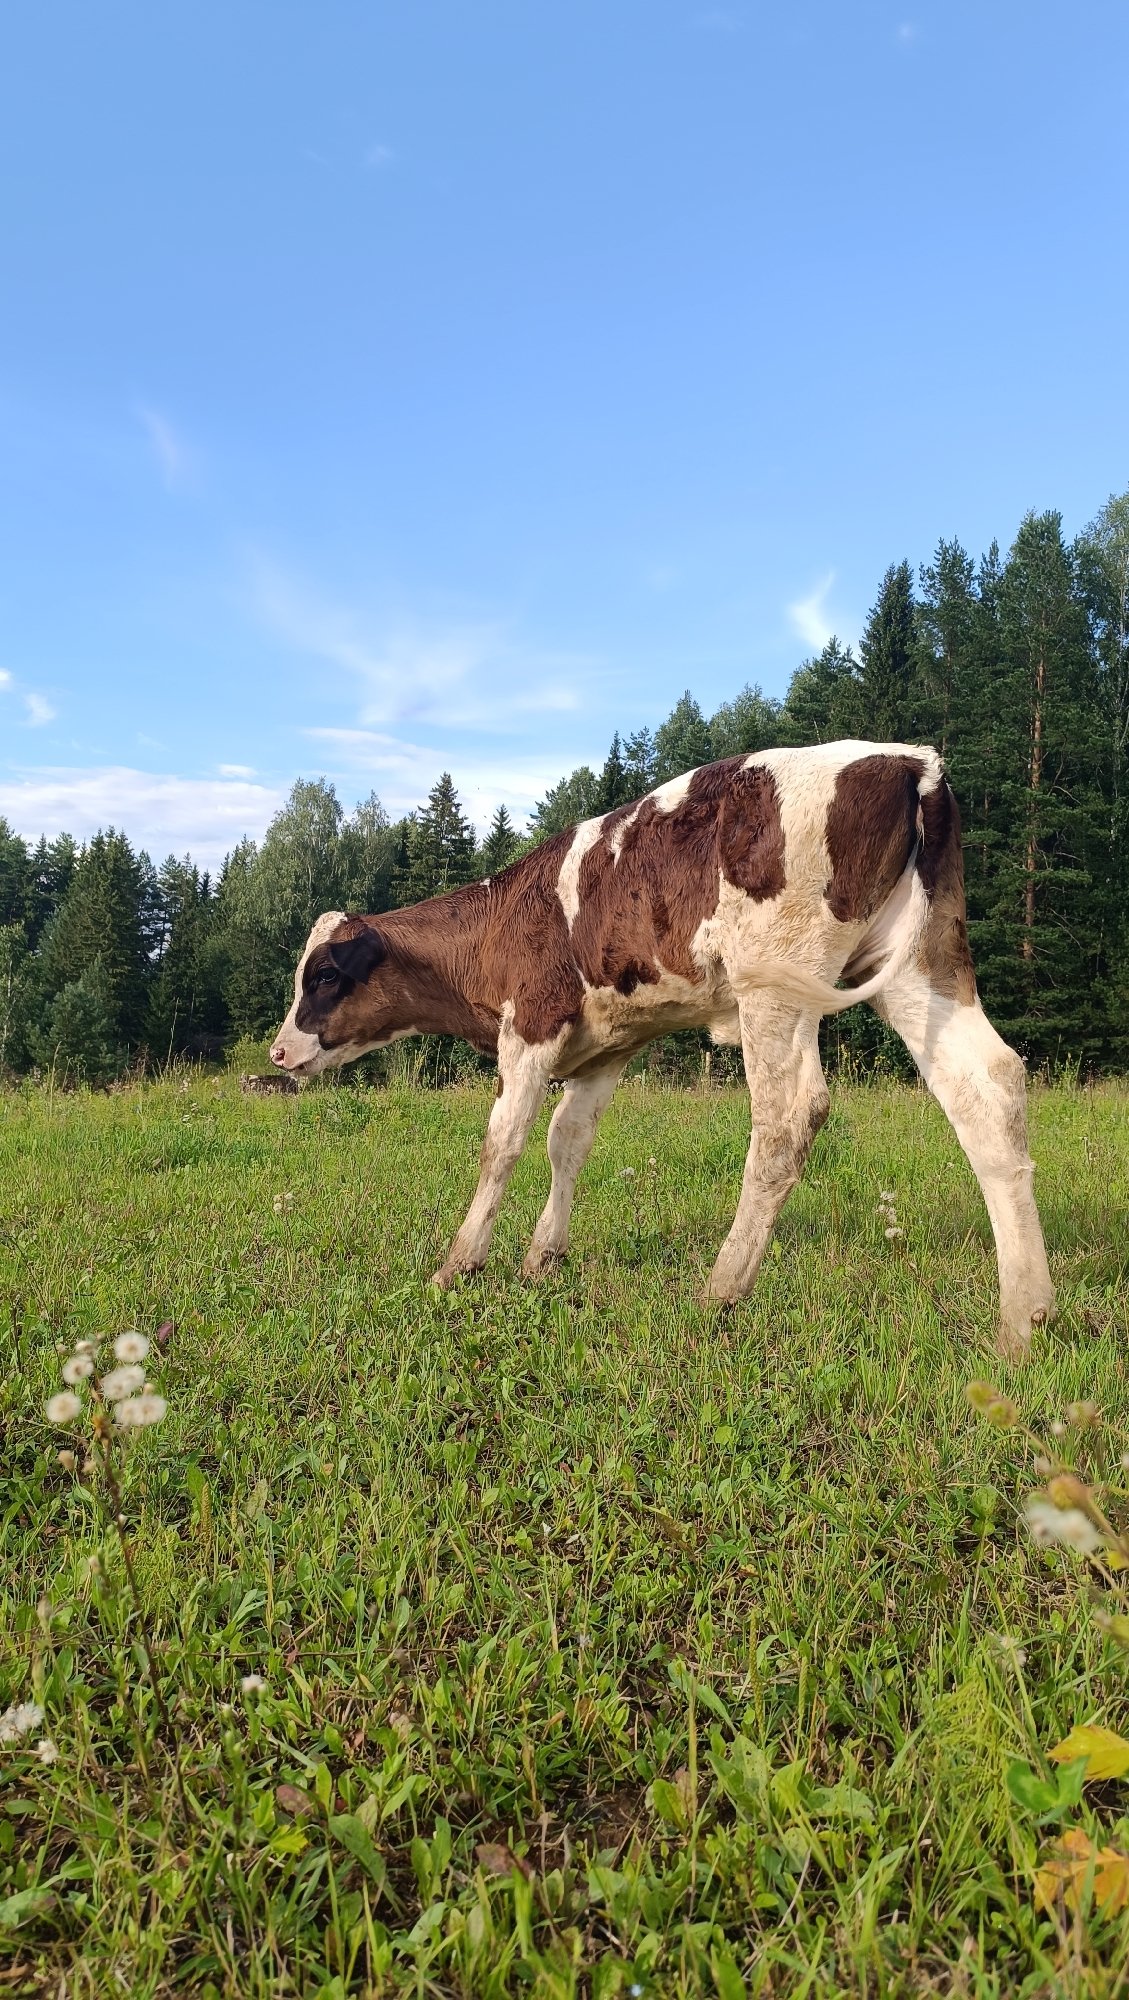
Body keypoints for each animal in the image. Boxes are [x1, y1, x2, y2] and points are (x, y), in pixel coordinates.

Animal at [269, 742, 1055, 1359]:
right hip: (922, 965)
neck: (501, 919)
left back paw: (722, 1288)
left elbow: (504, 1142)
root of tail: (910, 761)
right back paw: (1024, 1319)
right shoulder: (605, 1048)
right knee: (989, 1088)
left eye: (326, 975)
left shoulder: (531, 1027)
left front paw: (459, 1265)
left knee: (789, 1117)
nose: (277, 1053)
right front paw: (541, 1257)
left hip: (776, 983)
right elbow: (568, 1143)